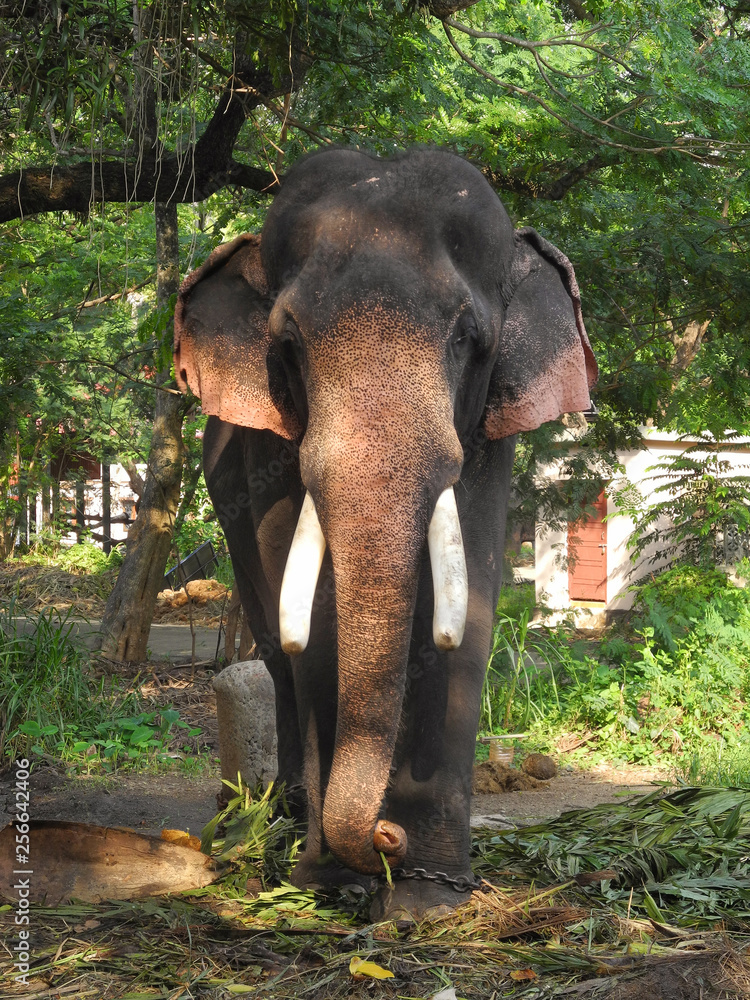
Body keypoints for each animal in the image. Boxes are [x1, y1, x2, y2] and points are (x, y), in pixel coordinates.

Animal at [174, 147, 597, 920]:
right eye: (287, 342)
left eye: (467, 338)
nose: (384, 838)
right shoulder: (270, 448)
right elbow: (312, 625)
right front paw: (330, 885)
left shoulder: (486, 431)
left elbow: (472, 606)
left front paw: (429, 898)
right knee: (273, 651)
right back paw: (287, 819)